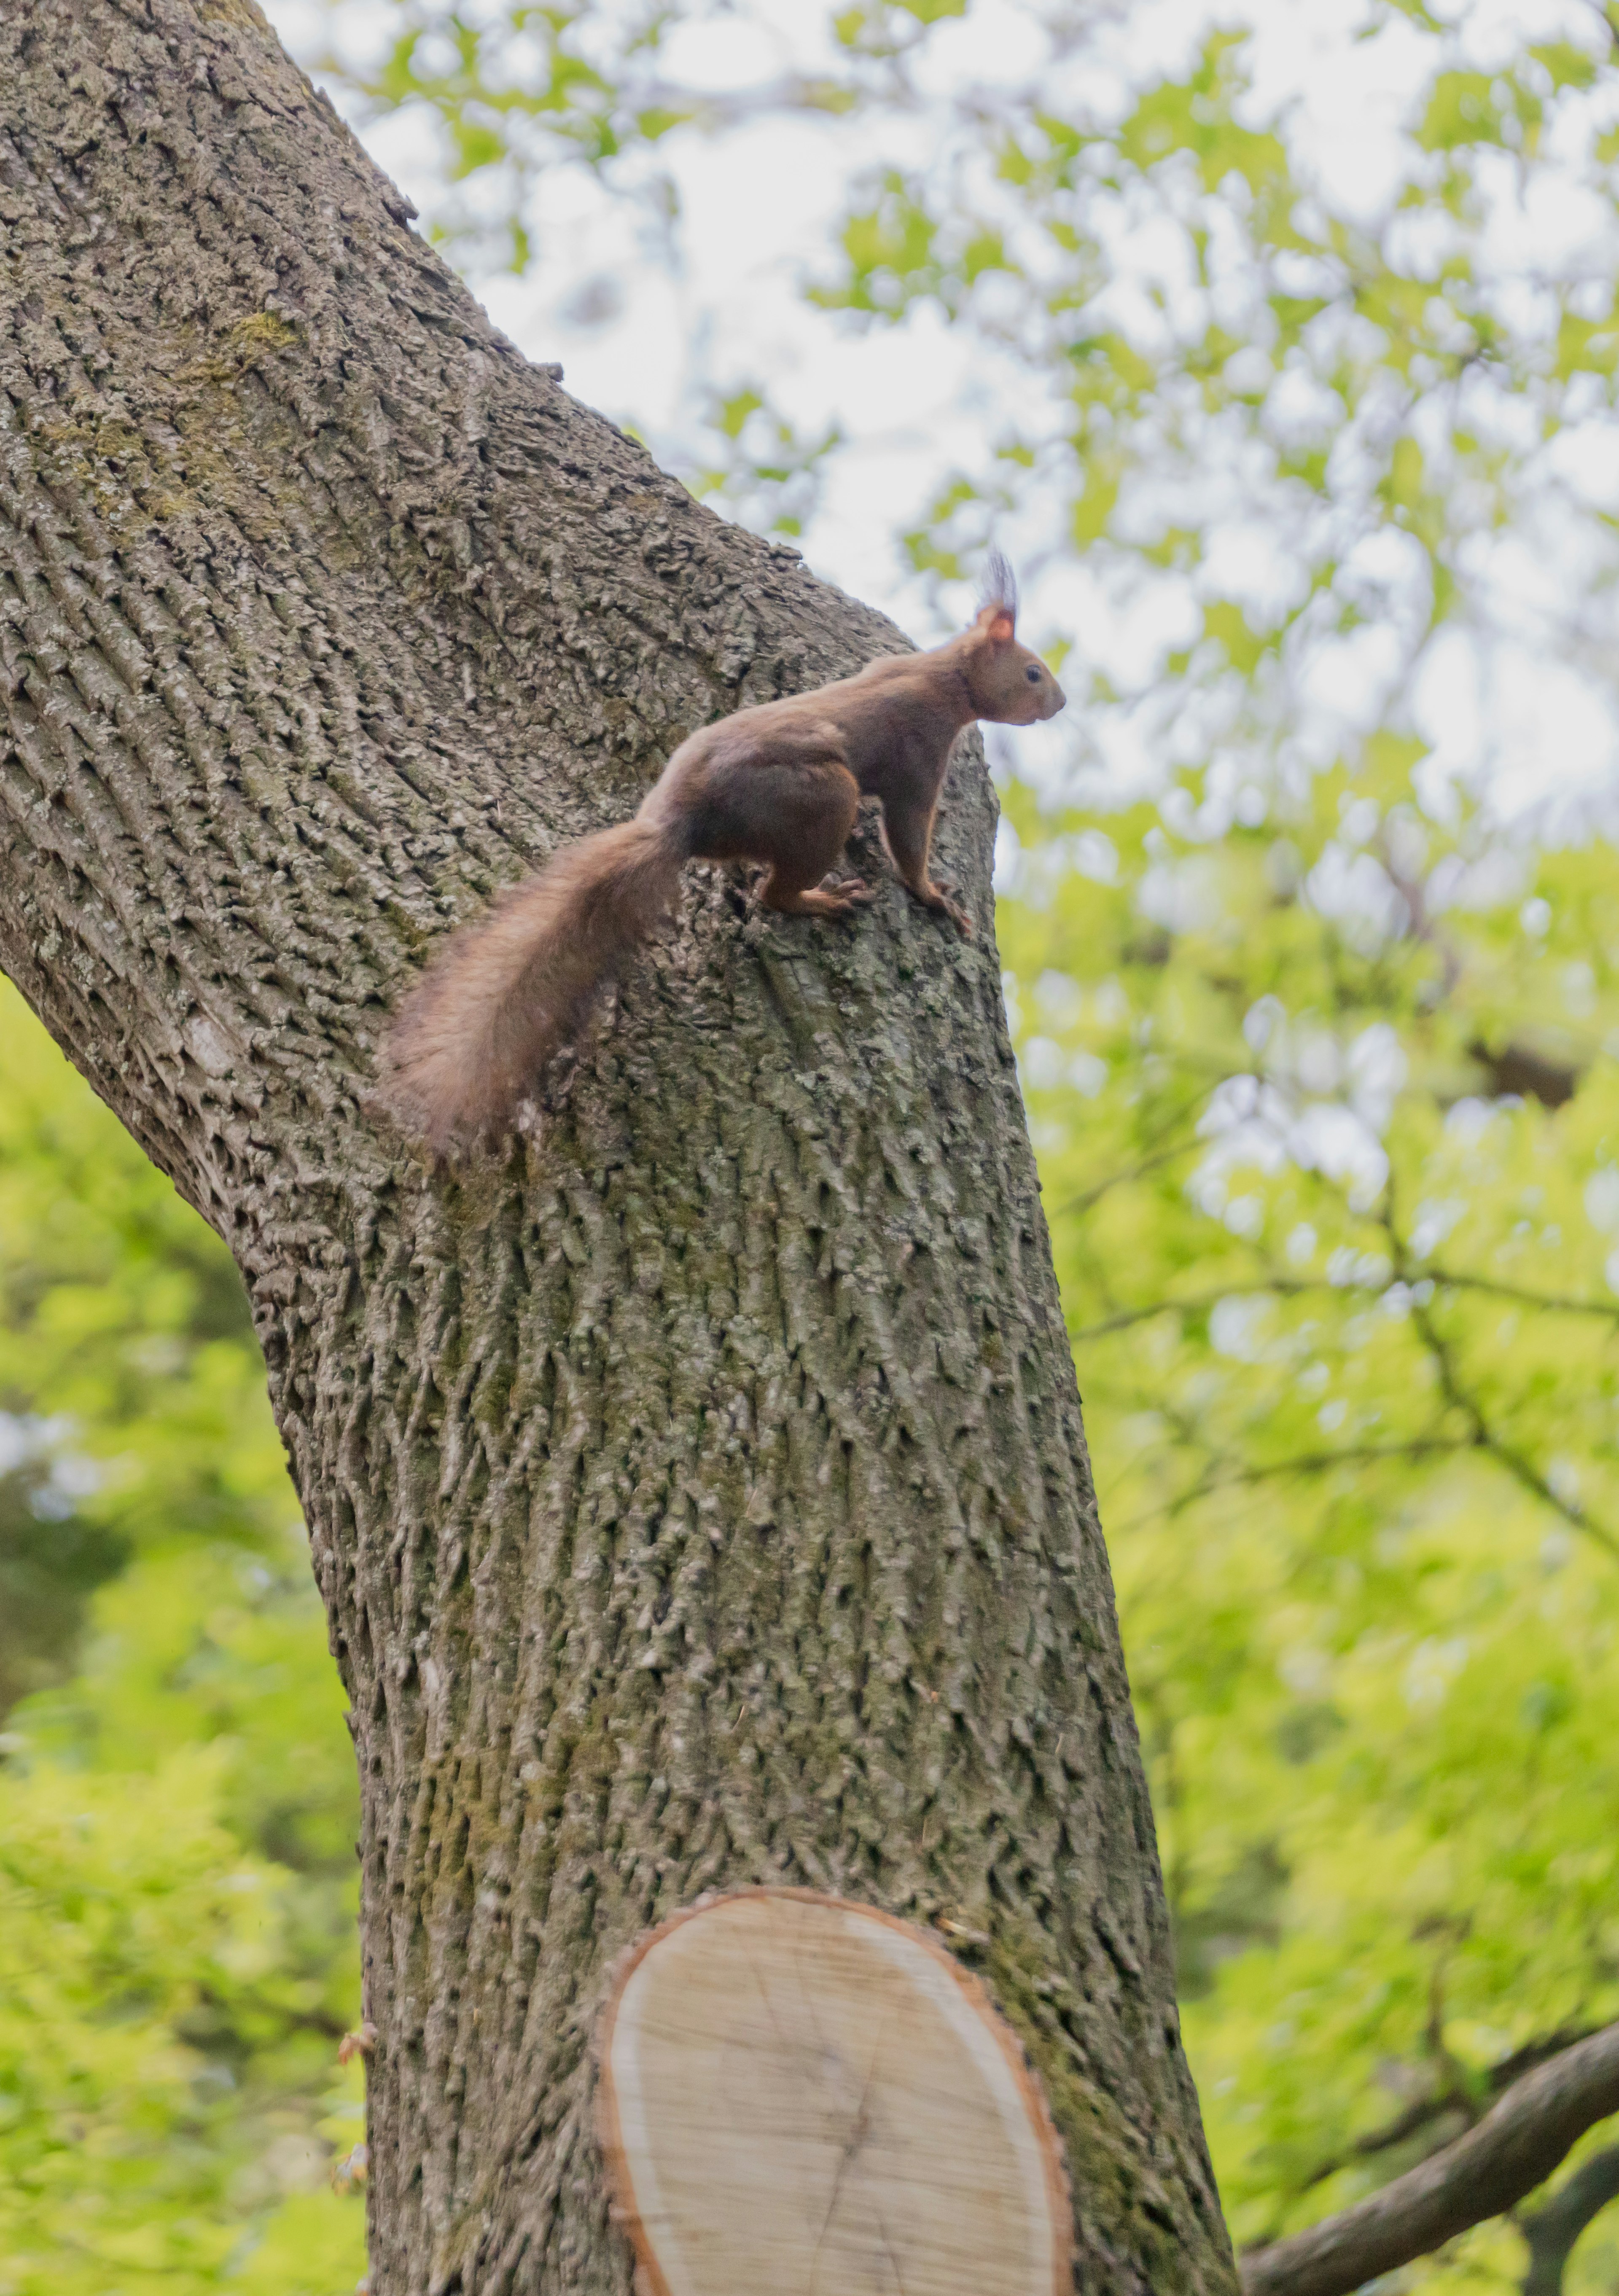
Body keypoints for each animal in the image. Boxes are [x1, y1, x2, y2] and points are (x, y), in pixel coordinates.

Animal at [377, 546, 1061, 1139]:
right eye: (1033, 672)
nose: (1059, 702)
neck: (942, 675)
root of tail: (679, 824)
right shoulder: (919, 751)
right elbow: (910, 840)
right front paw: (934, 896)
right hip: (823, 796)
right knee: (773, 896)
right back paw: (821, 900)